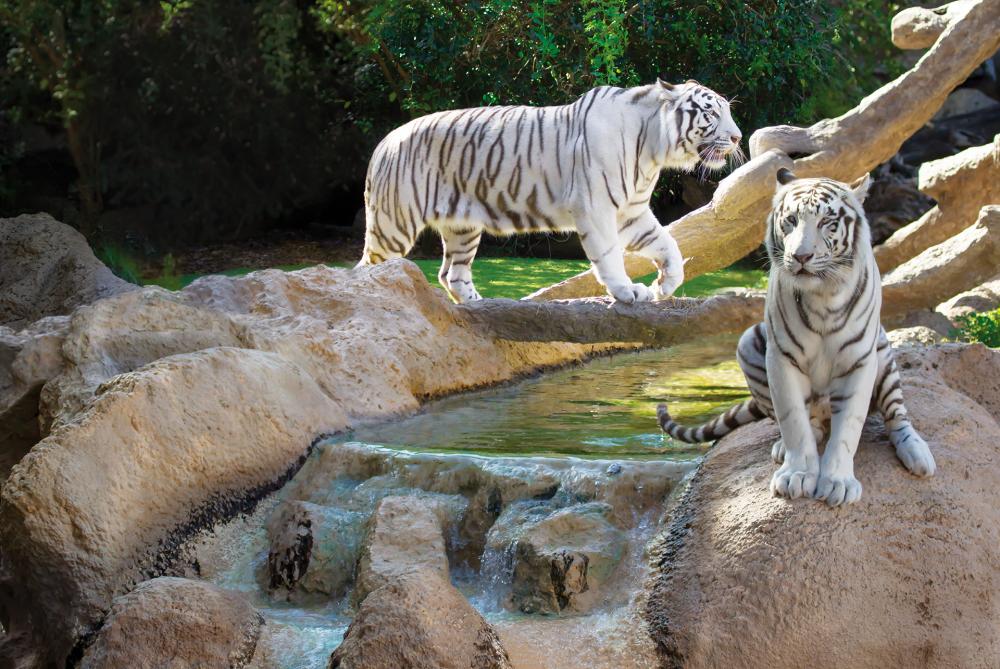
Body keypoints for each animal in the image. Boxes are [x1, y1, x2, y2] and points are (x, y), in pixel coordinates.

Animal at [357, 80, 743, 304]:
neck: (654, 148)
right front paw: (628, 291)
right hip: (394, 225)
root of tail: (384, 142)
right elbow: (610, 256)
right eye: (711, 113)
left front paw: (663, 286)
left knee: (451, 274)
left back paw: (480, 303)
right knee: (366, 269)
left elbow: (669, 245)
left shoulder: (631, 213)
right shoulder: (597, 210)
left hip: (462, 226)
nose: (738, 137)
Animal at [657, 169, 936, 507]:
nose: (801, 256)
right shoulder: (781, 358)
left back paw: (917, 453)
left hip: (883, 355)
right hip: (748, 343)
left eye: (827, 222)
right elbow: (793, 420)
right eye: (790, 220)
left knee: (896, 415)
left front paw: (838, 482)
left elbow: (849, 428)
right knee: (807, 420)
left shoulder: (859, 360)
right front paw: (797, 475)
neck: (823, 296)